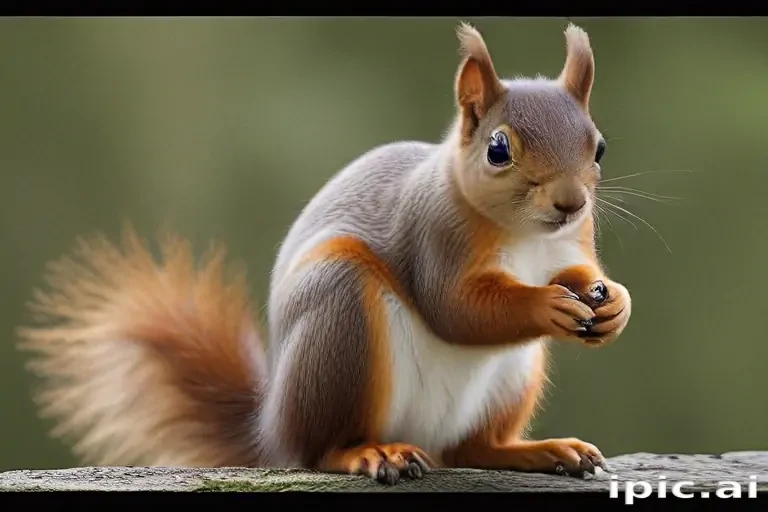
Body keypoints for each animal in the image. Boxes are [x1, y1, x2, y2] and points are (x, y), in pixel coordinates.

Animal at [17, 21, 631, 485]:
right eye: (498, 150)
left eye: (599, 146)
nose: (571, 202)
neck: (526, 235)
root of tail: (272, 429)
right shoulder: (434, 236)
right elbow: (455, 310)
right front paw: (544, 305)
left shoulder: (572, 242)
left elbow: (582, 273)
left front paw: (616, 303)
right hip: (339, 320)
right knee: (323, 450)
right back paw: (370, 453)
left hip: (510, 378)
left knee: (470, 449)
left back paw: (537, 450)